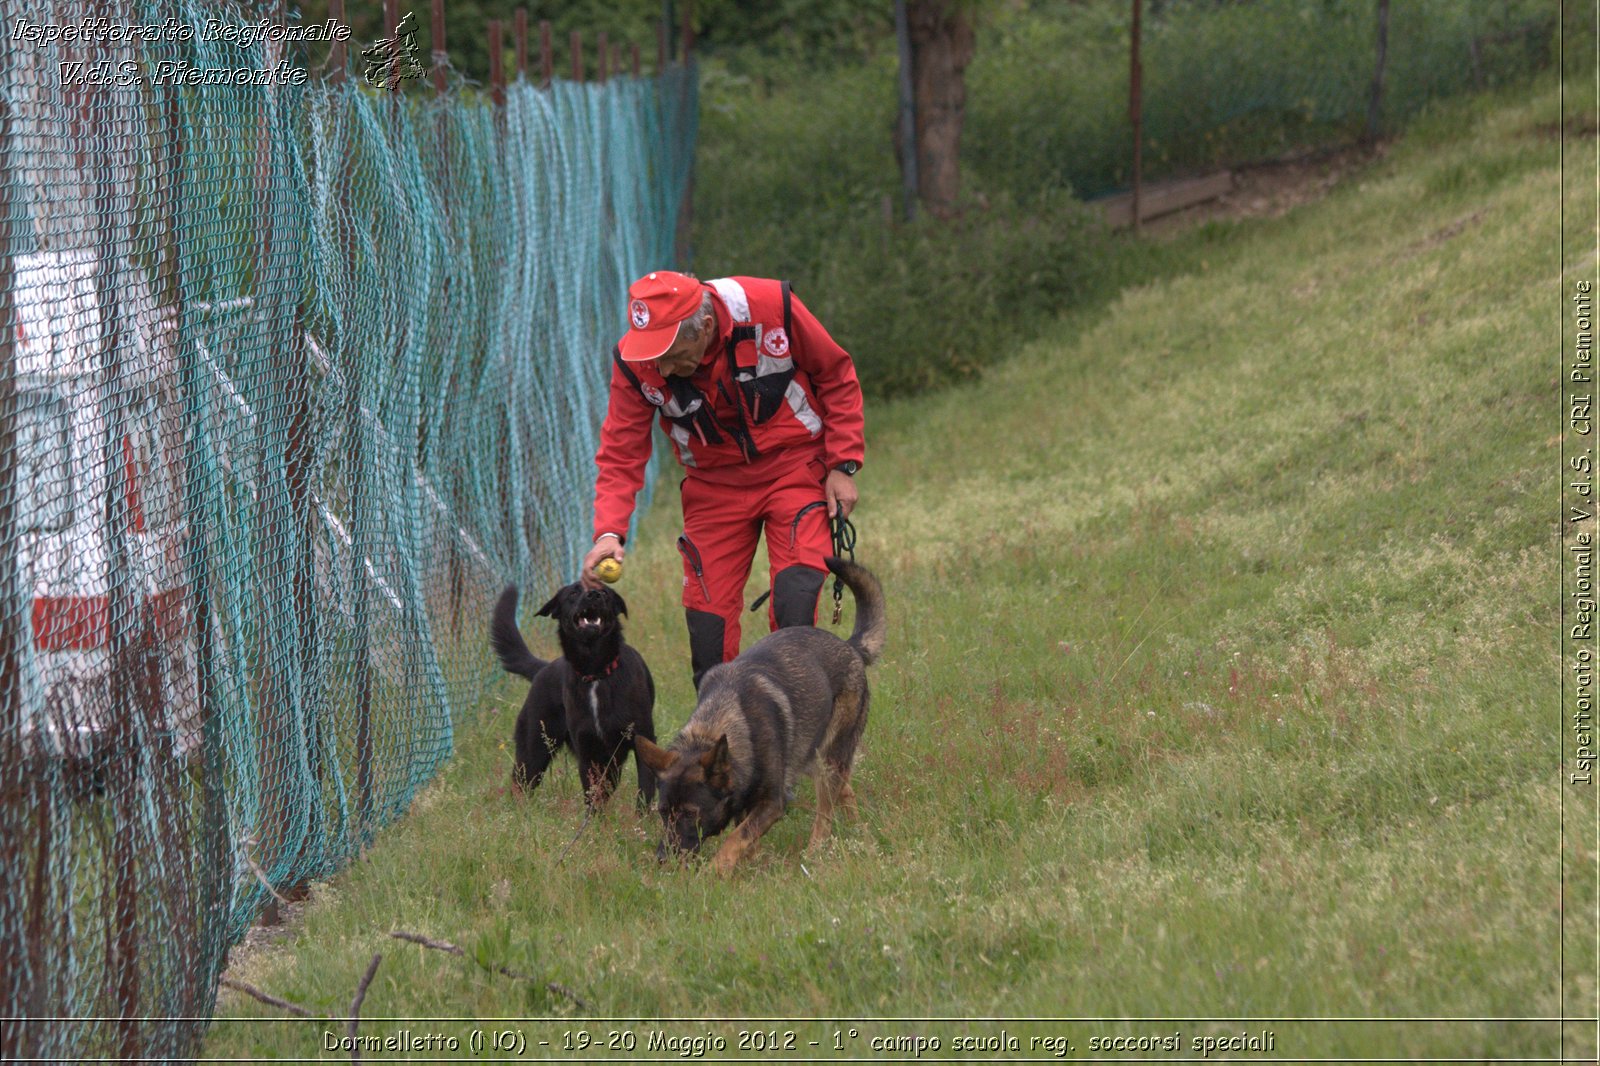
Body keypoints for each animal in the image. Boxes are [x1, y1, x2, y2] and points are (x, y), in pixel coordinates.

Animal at [489, 582, 659, 806]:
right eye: (574, 592)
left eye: (604, 592)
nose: (593, 595)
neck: (595, 672)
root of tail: (543, 668)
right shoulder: (588, 752)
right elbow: (593, 798)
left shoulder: (643, 740)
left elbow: (645, 793)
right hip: (534, 750)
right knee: (521, 785)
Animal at [636, 557, 889, 870]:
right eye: (662, 812)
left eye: (690, 814)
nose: (663, 859)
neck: (720, 722)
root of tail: (850, 647)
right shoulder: (746, 806)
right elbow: (745, 840)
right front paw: (751, 864)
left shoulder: (771, 804)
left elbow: (735, 841)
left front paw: (714, 872)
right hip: (812, 757)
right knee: (844, 790)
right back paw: (856, 830)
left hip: (827, 758)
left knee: (825, 812)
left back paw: (815, 852)